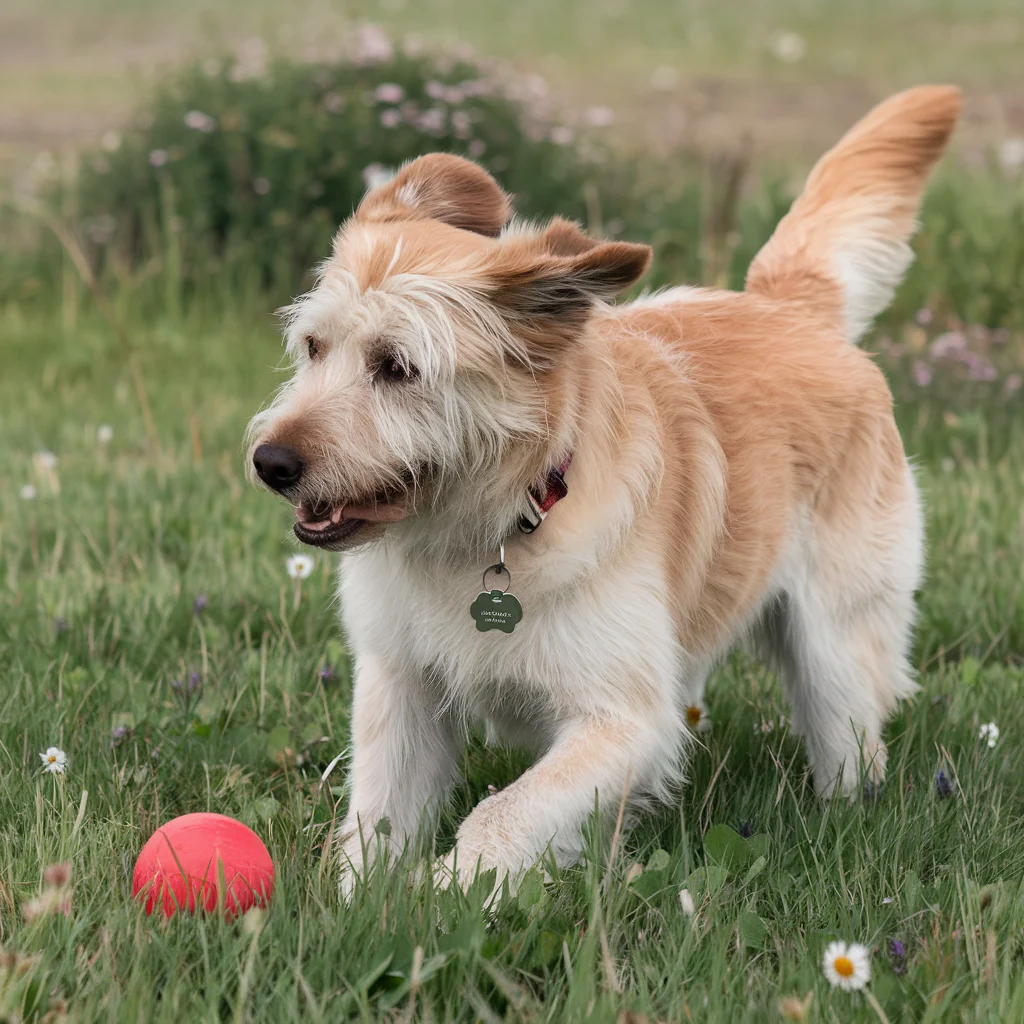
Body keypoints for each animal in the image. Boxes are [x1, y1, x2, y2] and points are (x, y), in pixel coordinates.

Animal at [245, 86, 958, 888]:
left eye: (396, 367)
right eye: (314, 347)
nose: (271, 463)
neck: (497, 527)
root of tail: (788, 308)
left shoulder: (627, 722)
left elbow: (503, 814)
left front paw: (449, 894)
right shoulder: (402, 690)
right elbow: (376, 823)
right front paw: (362, 902)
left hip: (836, 652)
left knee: (853, 750)